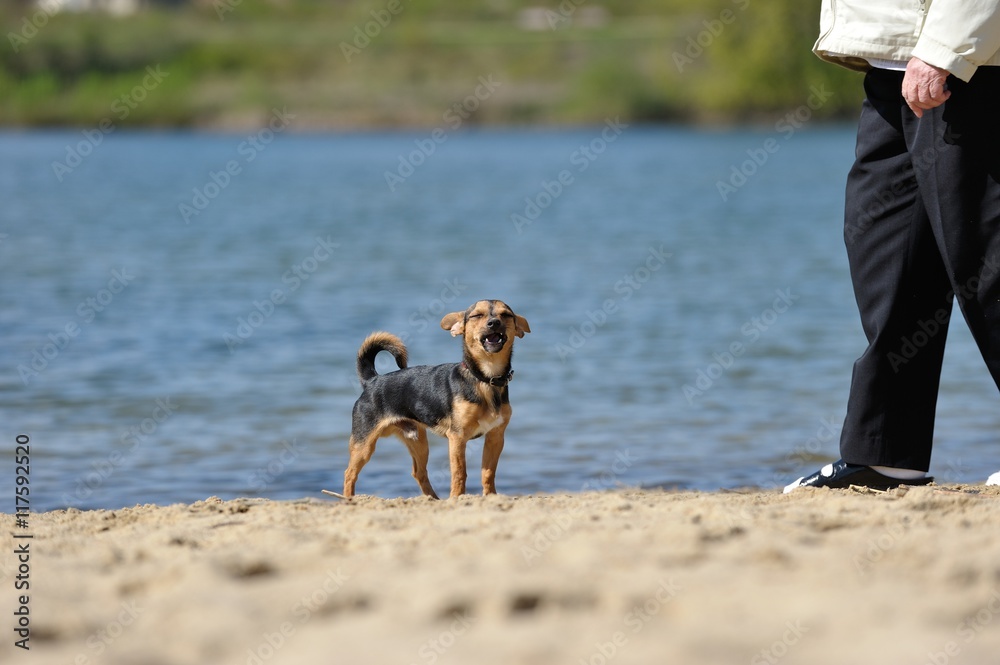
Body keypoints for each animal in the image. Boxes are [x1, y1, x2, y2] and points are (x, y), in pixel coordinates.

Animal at [344, 300, 532, 498]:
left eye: (505, 315)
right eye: (477, 316)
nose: (494, 323)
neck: (485, 379)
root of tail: (372, 380)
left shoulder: (495, 437)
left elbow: (488, 473)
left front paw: (491, 497)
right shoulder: (457, 437)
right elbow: (459, 472)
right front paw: (456, 497)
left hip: (418, 442)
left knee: (419, 472)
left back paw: (432, 499)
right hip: (364, 444)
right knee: (350, 473)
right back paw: (348, 499)